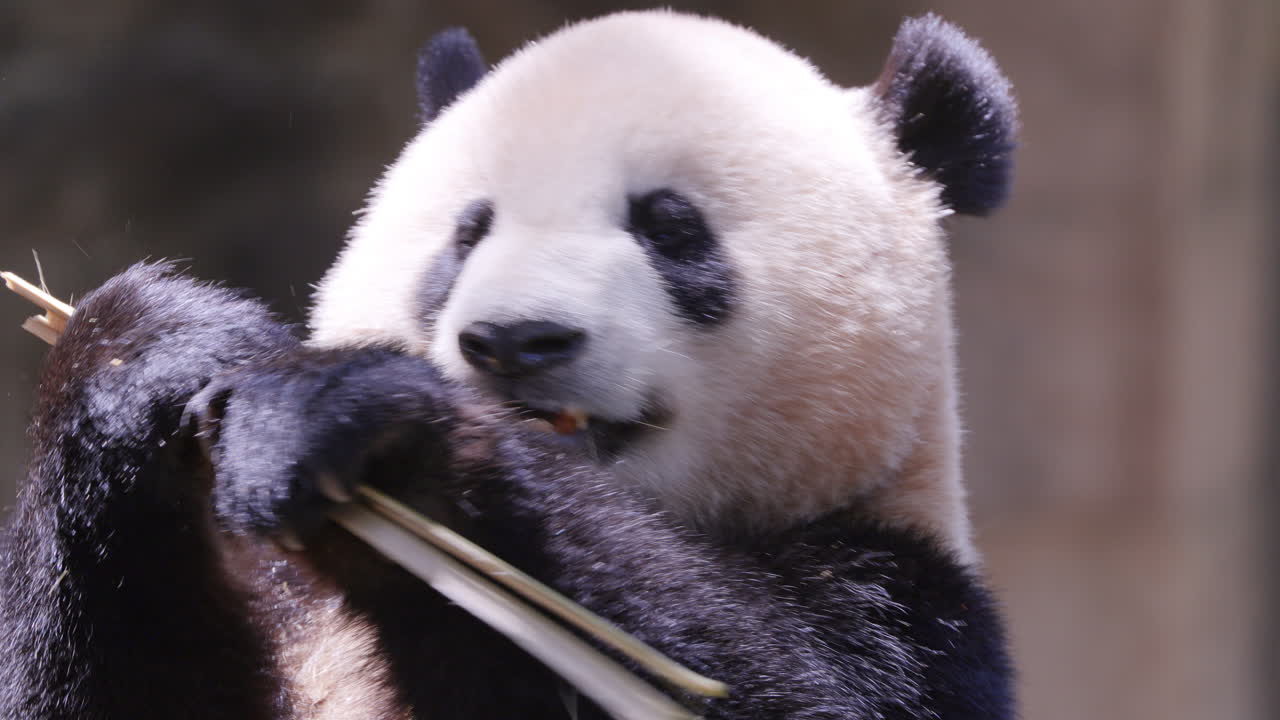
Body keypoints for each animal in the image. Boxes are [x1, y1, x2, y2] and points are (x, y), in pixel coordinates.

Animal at [0, 10, 1017, 720]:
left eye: (670, 227)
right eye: (467, 232)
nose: (517, 339)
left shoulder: (907, 614)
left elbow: (749, 680)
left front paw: (364, 422)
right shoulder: (287, 605)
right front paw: (147, 351)